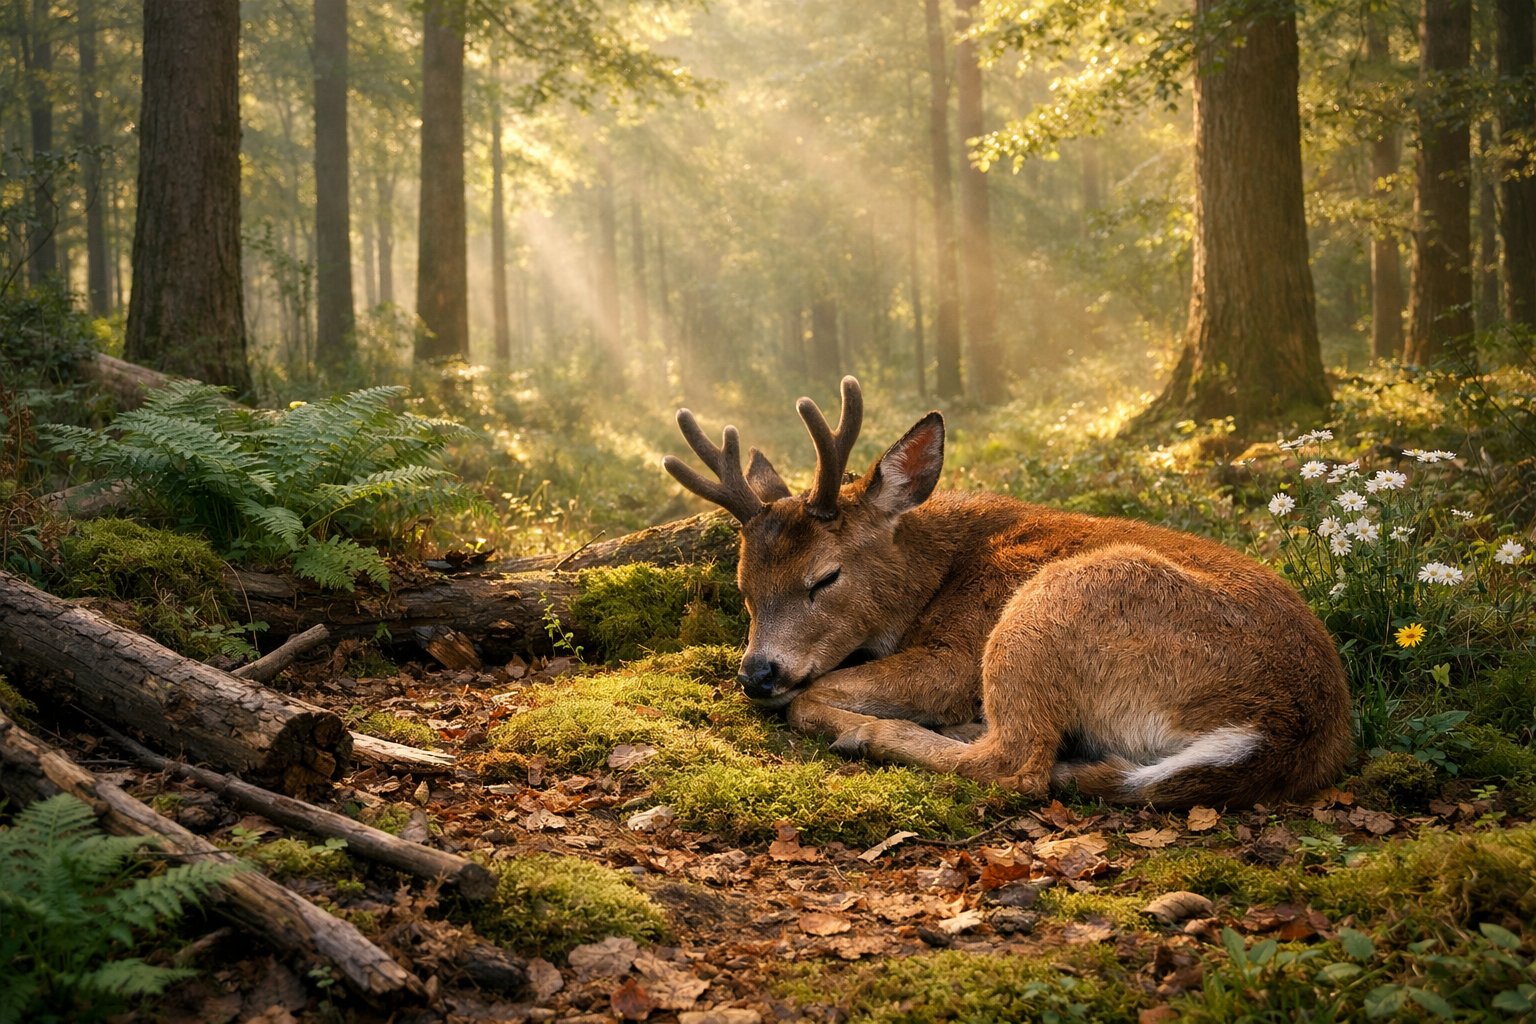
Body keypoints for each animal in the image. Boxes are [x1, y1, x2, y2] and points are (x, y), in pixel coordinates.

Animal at [663, 376, 1354, 808]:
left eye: (824, 577)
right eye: (744, 587)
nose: (758, 673)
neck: (931, 578)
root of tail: (1276, 730)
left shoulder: (957, 653)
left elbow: (818, 692)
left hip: (1051, 606)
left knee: (1018, 765)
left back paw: (878, 734)